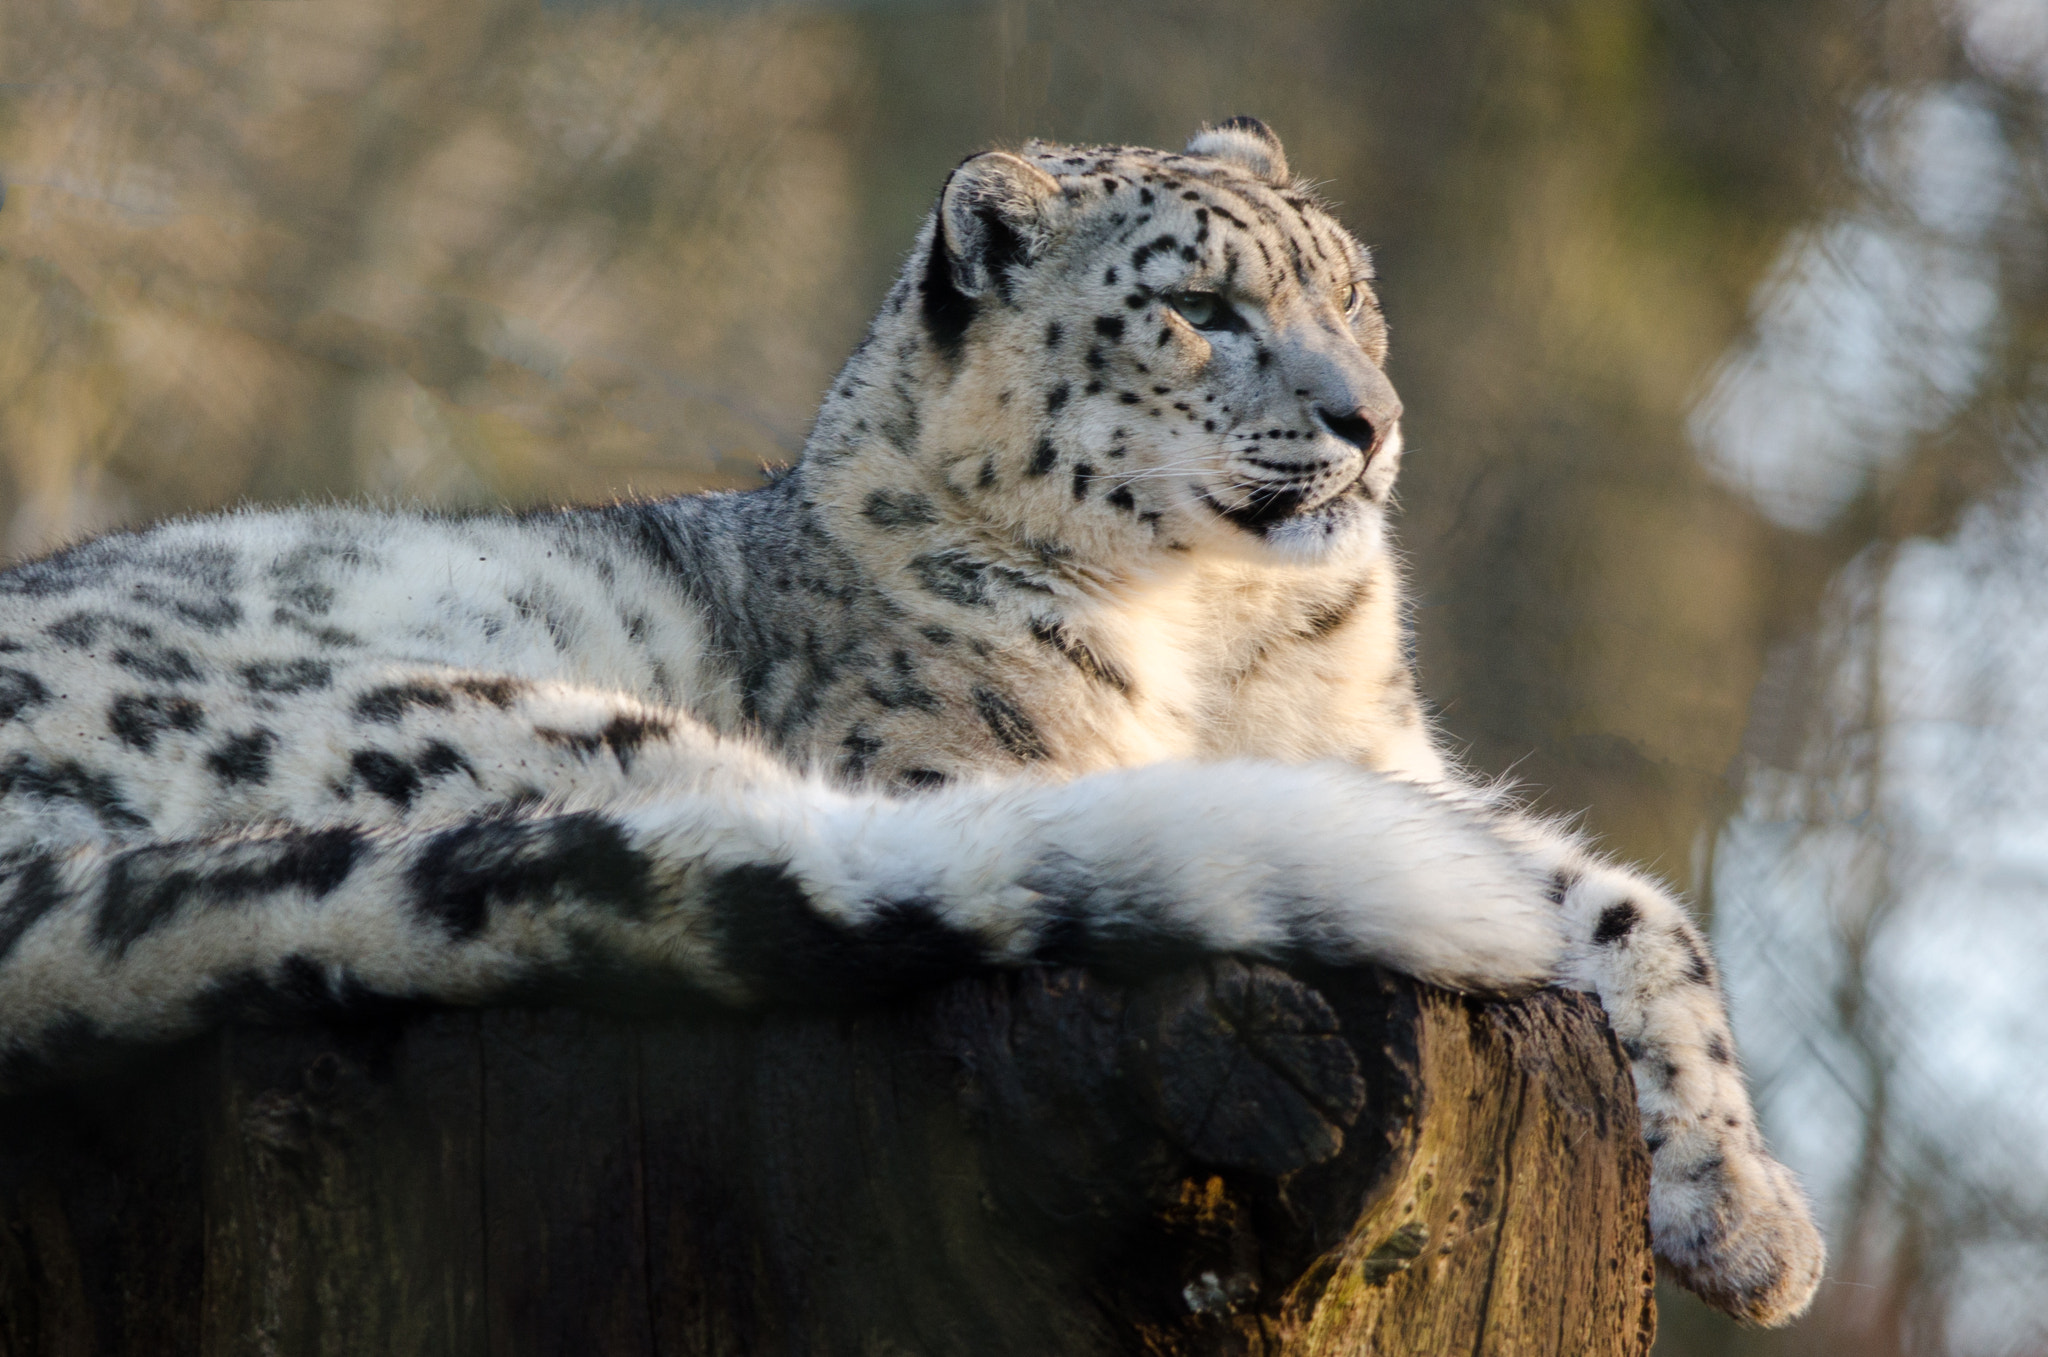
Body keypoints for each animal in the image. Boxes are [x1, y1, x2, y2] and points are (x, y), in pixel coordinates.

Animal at [0, 118, 1822, 1325]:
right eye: (1201, 308)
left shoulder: (1390, 763)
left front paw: (1747, 1214)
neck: (1231, 647)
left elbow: (1627, 905)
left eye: (1351, 293)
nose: (1364, 417)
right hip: (516, 725)